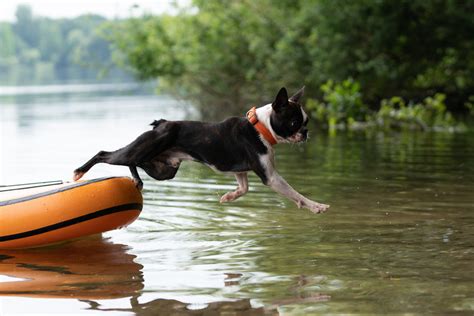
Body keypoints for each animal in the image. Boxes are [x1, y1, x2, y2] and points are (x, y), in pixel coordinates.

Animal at [73, 87, 330, 214]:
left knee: (132, 162)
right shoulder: (271, 177)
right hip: (140, 151)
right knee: (105, 154)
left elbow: (244, 189)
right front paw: (316, 206)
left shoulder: (240, 171)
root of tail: (161, 124)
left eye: (305, 121)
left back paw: (136, 180)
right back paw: (79, 172)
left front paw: (228, 197)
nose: (306, 132)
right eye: (294, 122)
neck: (261, 127)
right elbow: (296, 194)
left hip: (163, 169)